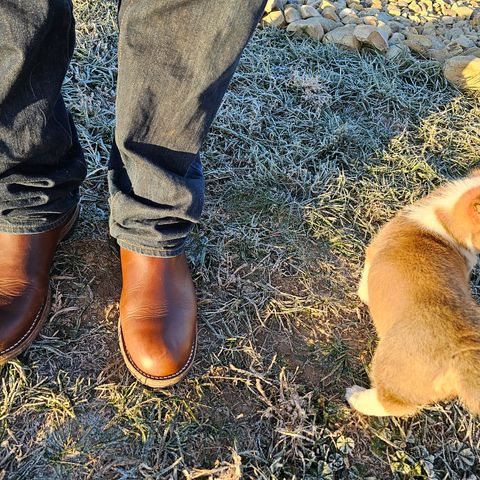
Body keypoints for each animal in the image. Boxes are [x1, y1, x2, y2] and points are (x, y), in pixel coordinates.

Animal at [346, 172, 480, 416]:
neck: (444, 222)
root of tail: (464, 351)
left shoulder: (372, 255)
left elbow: (364, 282)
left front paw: (364, 295)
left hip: (388, 364)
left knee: (390, 404)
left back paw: (355, 396)